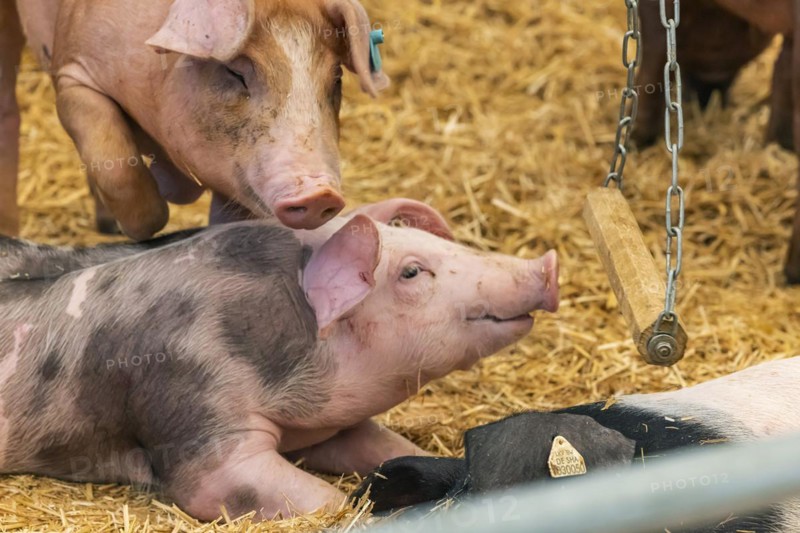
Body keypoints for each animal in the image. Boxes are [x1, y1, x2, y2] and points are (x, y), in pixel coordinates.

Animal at [0, 0, 389, 240]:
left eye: (335, 80)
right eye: (235, 72)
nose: (320, 192)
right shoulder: (73, 72)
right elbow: (117, 167)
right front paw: (149, 224)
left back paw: (107, 227)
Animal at [0, 199, 560, 521]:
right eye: (412, 272)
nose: (547, 264)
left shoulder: (333, 426)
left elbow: (385, 446)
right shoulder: (193, 413)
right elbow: (283, 495)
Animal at [632, 0, 800, 284]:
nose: (703, 98)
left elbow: (654, 54)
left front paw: (637, 140)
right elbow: (781, 74)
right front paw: (774, 148)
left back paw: (790, 273)